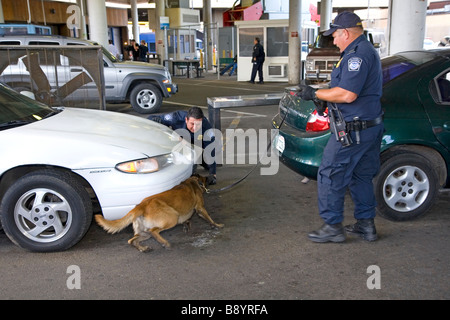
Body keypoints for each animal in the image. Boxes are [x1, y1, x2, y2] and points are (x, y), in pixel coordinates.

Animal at [94, 175, 223, 252]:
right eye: (207, 178)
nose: (213, 176)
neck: (194, 181)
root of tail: (141, 205)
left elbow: (187, 220)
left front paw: (187, 225)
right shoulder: (200, 208)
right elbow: (208, 217)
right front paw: (216, 225)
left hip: (144, 233)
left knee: (131, 240)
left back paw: (143, 248)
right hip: (172, 217)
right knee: (154, 231)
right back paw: (164, 243)